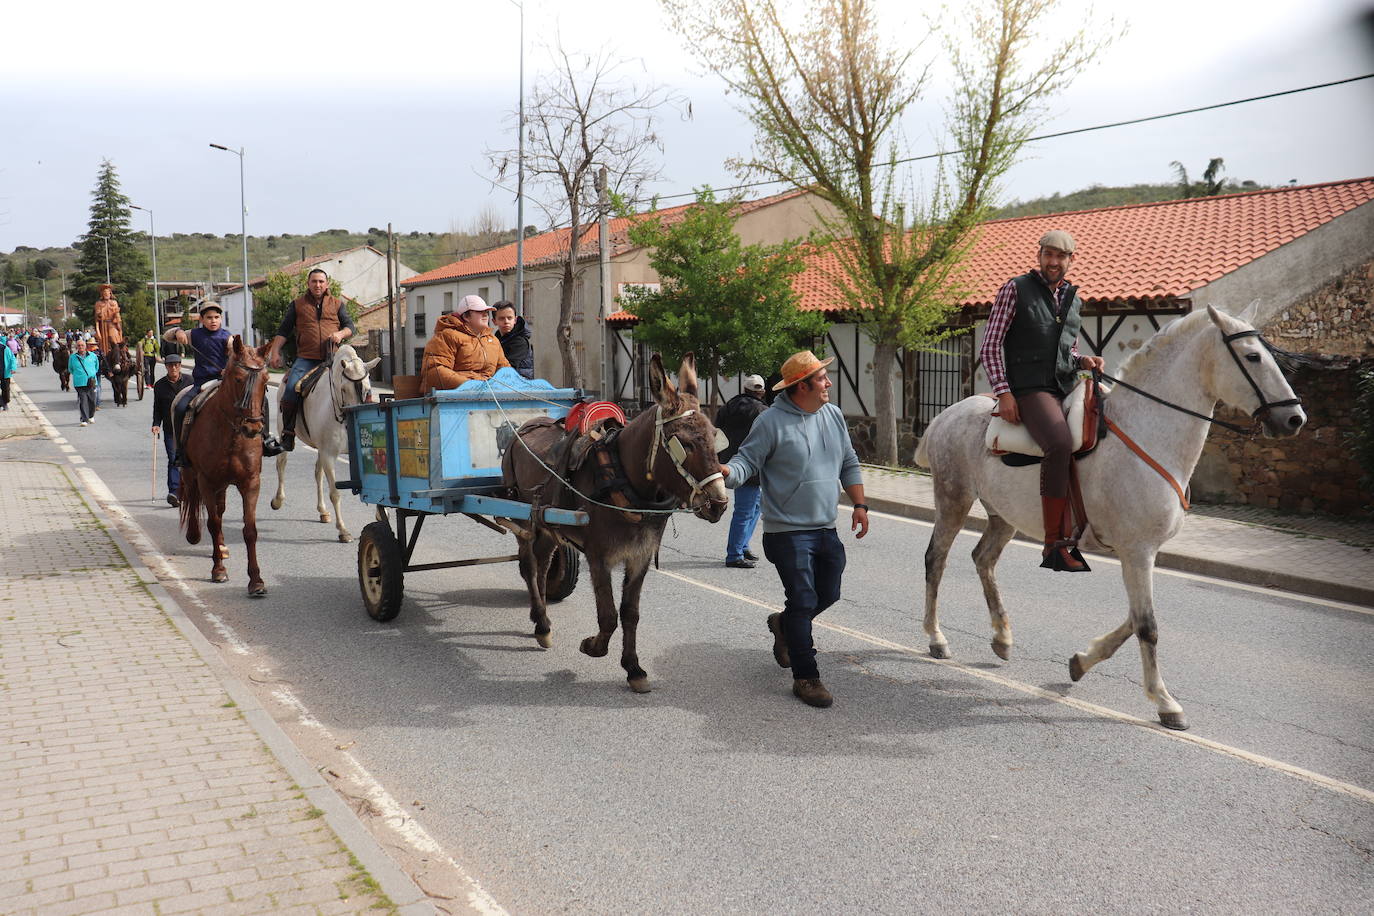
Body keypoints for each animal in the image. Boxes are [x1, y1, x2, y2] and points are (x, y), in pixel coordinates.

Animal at [179, 336, 270, 596]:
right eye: (238, 379)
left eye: (266, 380)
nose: (253, 427)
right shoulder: (206, 481)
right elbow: (213, 523)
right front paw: (218, 570)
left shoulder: (251, 483)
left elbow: (250, 530)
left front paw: (256, 581)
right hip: (190, 474)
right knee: (195, 502)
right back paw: (195, 535)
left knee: (218, 510)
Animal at [267, 347, 379, 541]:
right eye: (343, 389)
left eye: (367, 388)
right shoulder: (329, 454)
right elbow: (335, 493)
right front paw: (343, 530)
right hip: (285, 431)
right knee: (281, 463)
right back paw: (278, 499)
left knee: (317, 473)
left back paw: (323, 511)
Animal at [502, 354, 730, 692]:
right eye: (684, 443)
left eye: (715, 436)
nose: (719, 504)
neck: (623, 480)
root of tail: (528, 425)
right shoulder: (599, 557)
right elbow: (608, 614)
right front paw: (594, 646)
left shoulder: (640, 556)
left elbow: (630, 613)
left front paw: (634, 668)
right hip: (523, 516)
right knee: (528, 566)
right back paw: (541, 624)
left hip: (547, 523)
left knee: (541, 563)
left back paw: (541, 618)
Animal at [917, 307, 1302, 730]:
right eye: (1252, 356)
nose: (1294, 418)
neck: (1148, 434)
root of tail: (947, 415)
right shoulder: (1137, 551)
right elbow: (1147, 625)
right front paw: (1165, 702)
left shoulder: (1142, 555)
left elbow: (1136, 618)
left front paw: (1081, 662)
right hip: (953, 501)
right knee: (936, 561)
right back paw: (936, 639)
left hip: (1003, 515)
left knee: (983, 559)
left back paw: (1002, 638)